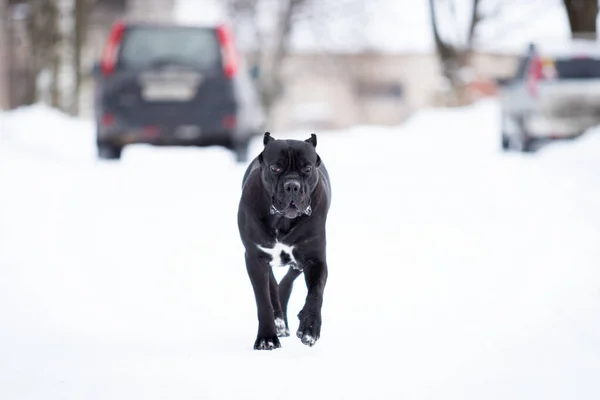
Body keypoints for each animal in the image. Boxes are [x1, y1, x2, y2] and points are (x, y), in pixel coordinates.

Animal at [238, 132, 332, 350]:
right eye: (276, 168)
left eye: (307, 169)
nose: (292, 186)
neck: (282, 221)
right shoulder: (254, 258)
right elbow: (263, 300)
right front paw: (267, 338)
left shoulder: (315, 258)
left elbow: (316, 293)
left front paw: (309, 329)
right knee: (273, 286)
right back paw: (279, 322)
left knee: (288, 278)